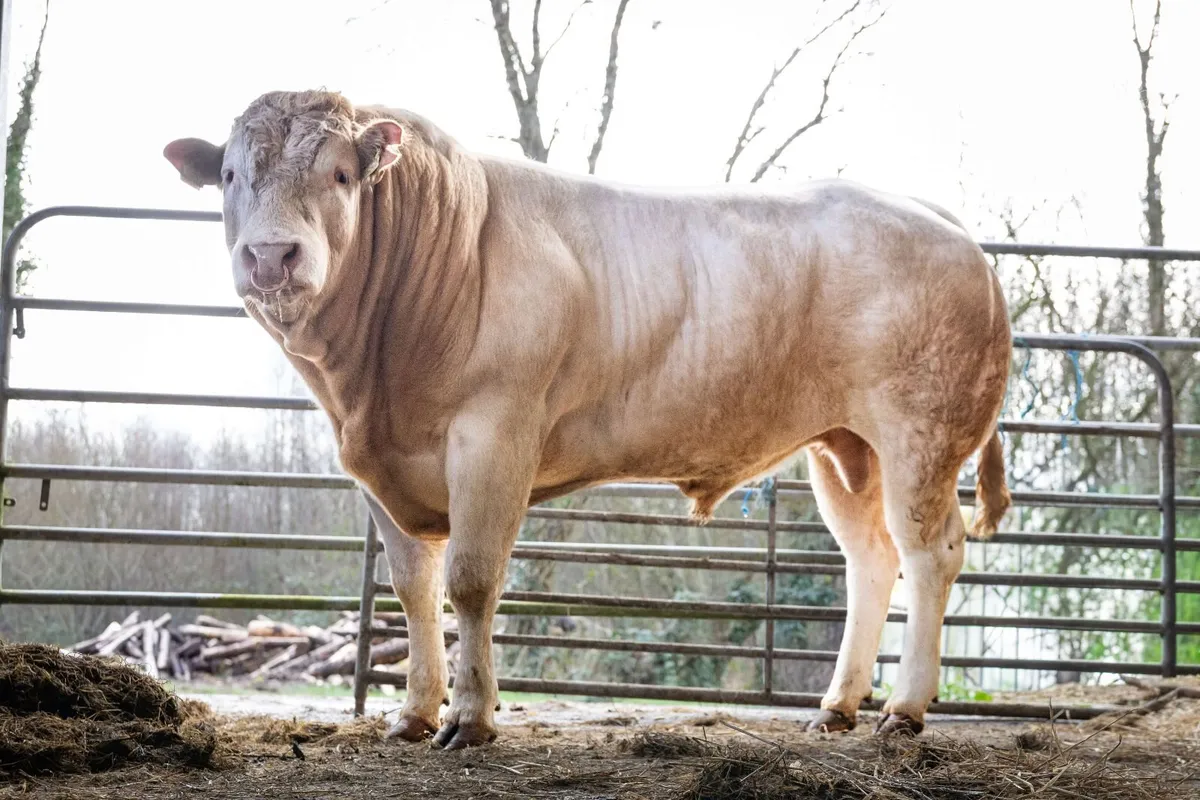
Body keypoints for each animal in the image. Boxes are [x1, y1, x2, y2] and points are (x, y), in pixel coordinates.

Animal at [164, 90, 1012, 750]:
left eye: (339, 175)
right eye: (231, 175)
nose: (272, 256)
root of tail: (940, 220)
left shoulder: (495, 432)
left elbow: (470, 579)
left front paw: (470, 719)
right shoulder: (375, 467)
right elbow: (413, 588)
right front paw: (411, 715)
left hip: (919, 432)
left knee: (930, 552)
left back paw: (903, 711)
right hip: (845, 448)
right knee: (869, 558)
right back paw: (836, 708)